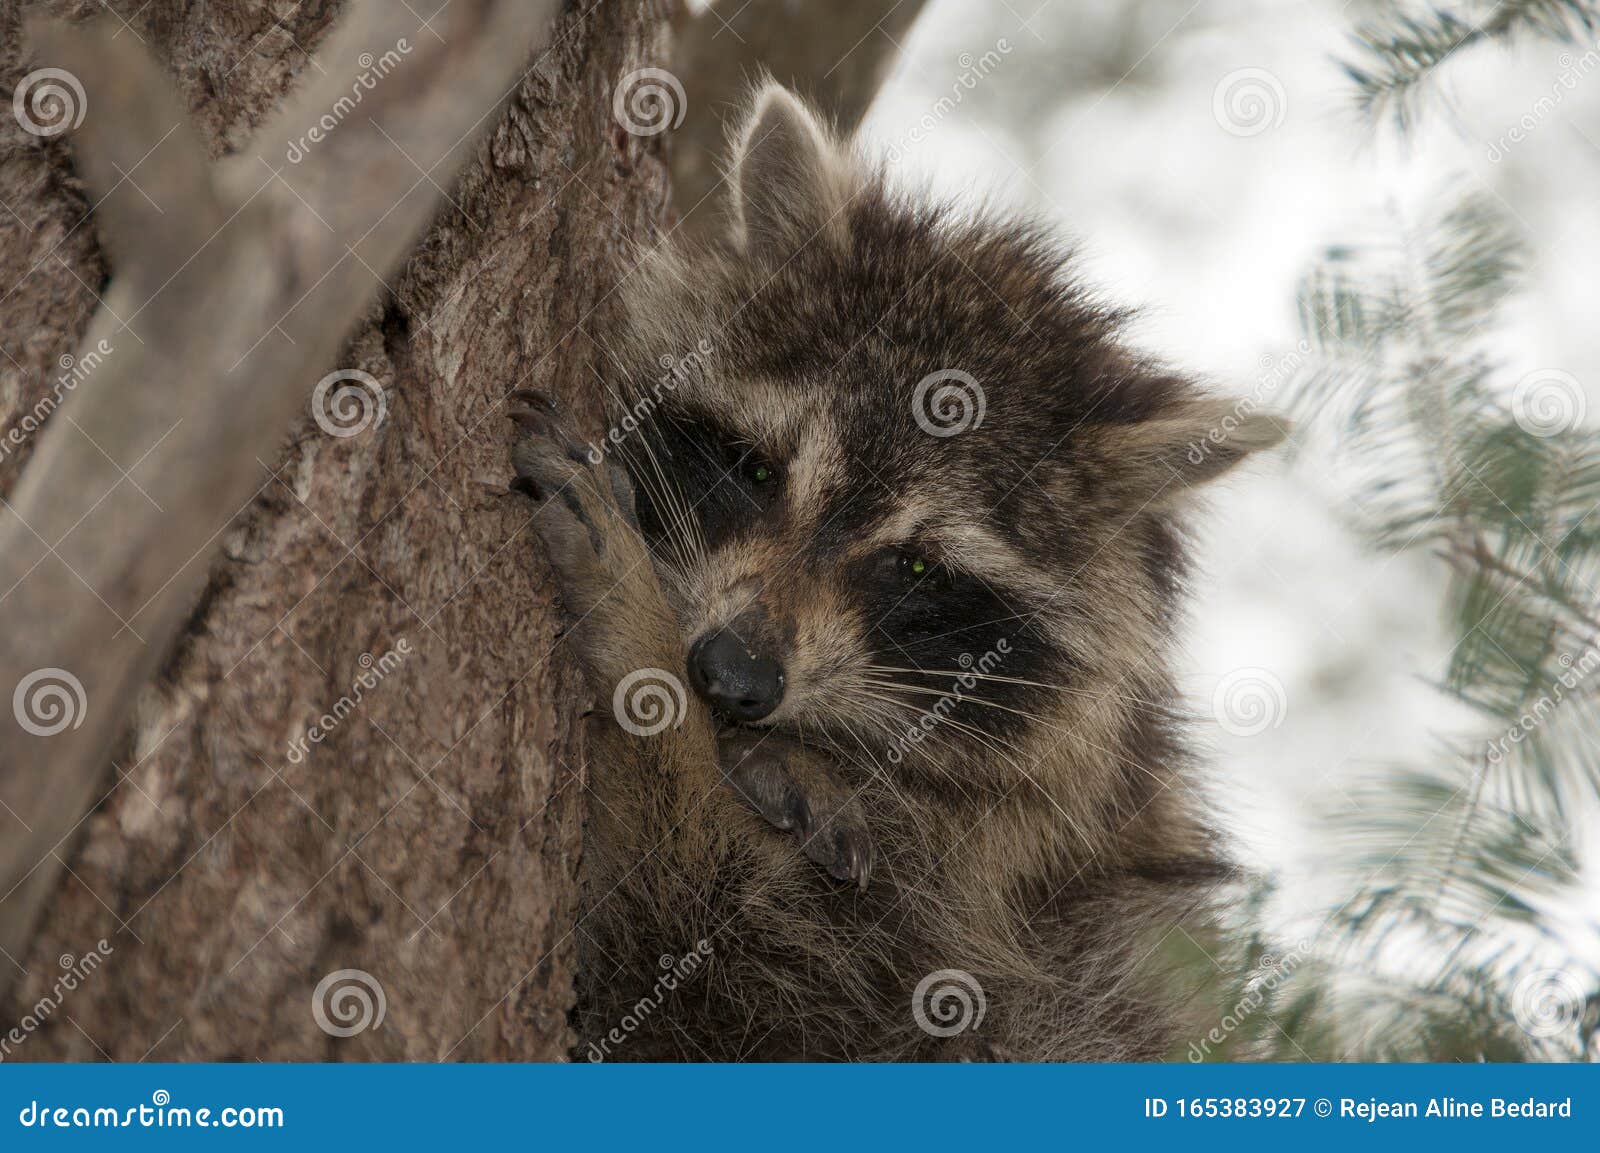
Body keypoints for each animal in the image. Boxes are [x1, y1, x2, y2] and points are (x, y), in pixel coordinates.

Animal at [512, 83, 1286, 1061]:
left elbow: (703, 957)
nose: (730, 676)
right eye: (756, 470)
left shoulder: (978, 913)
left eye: (915, 564)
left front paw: (641, 655)